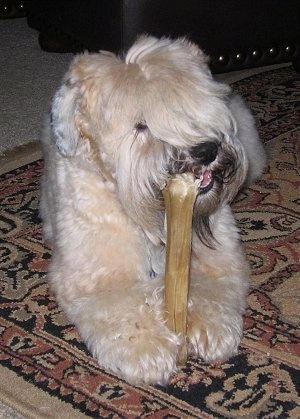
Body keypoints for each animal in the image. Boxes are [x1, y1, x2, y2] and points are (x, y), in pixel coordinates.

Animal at [39, 36, 264, 388]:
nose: (206, 150)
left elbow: (213, 289)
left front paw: (211, 329)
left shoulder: (218, 258)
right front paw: (148, 349)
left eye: (192, 104)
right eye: (141, 125)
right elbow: (122, 309)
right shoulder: (98, 274)